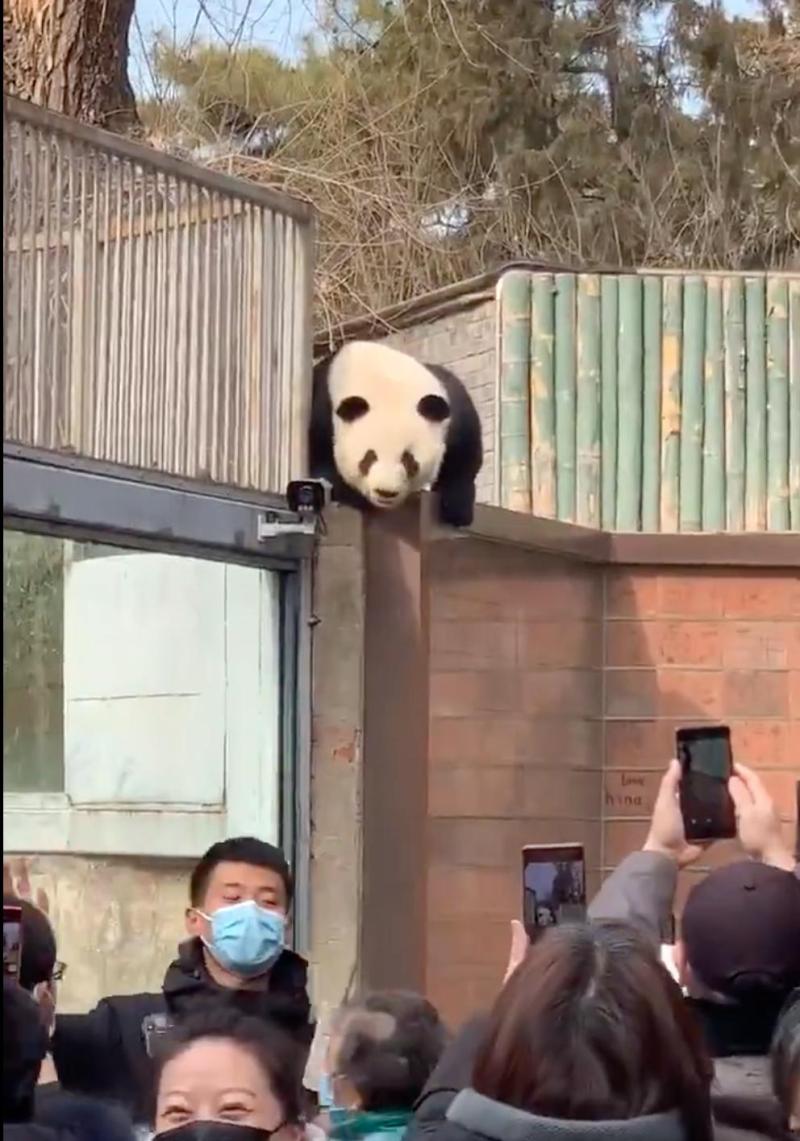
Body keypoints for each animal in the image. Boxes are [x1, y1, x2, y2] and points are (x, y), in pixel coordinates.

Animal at [308, 335, 481, 527]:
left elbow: (464, 456)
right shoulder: (323, 414)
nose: (385, 492)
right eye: (369, 457)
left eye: (408, 459)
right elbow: (322, 467)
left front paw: (457, 508)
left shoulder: (451, 408)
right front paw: (354, 496)